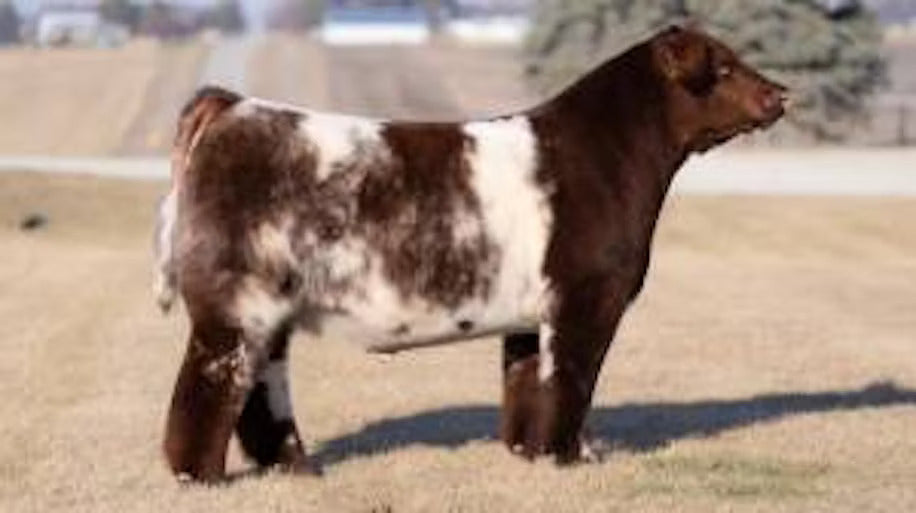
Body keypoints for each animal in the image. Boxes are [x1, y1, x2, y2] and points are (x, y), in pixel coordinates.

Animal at [154, 26, 787, 482]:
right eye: (723, 67)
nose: (780, 94)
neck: (608, 156)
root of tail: (234, 106)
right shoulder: (586, 299)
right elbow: (572, 380)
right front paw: (570, 457)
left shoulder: (531, 315)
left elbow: (529, 384)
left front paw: (530, 454)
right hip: (238, 304)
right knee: (207, 388)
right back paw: (201, 477)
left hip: (268, 312)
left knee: (260, 393)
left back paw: (297, 469)